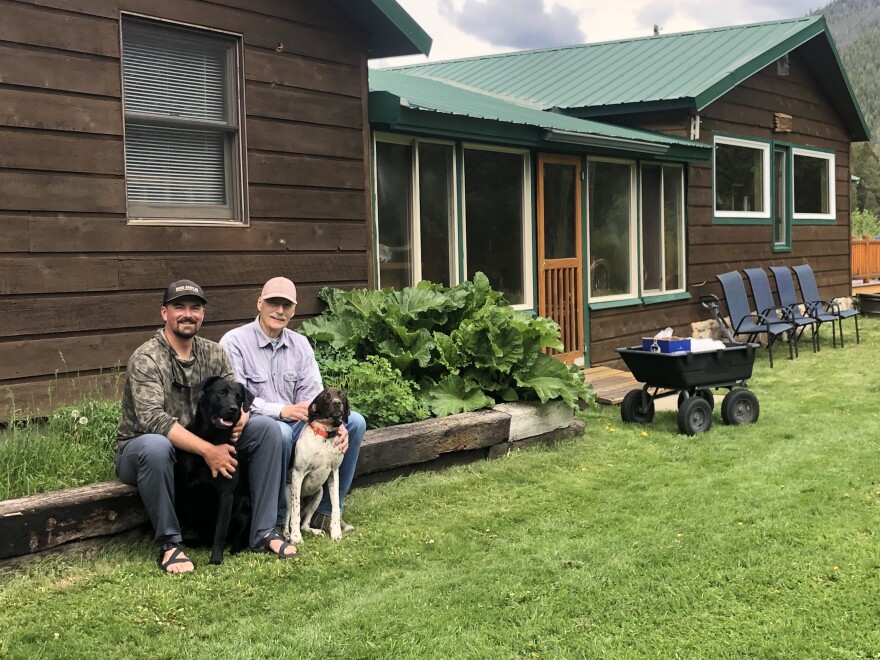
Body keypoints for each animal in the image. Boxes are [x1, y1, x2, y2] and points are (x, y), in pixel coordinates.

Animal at [174, 376, 253, 564]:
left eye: (239, 397)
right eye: (221, 392)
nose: (233, 409)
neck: (212, 440)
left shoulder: (226, 495)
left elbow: (221, 532)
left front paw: (216, 559)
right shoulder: (180, 490)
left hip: (244, 510)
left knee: (237, 537)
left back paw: (235, 549)